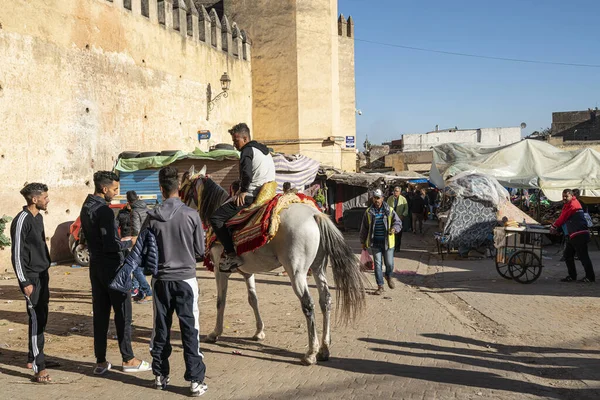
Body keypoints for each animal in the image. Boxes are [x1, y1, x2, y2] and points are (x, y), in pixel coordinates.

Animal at [179, 169, 366, 366]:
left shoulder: (219, 270)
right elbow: (253, 299)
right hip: (318, 268)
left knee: (308, 304)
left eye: (182, 188)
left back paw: (311, 353)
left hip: (297, 272)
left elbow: (220, 301)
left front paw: (215, 333)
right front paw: (259, 332)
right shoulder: (247, 272)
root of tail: (315, 215)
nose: (180, 207)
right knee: (326, 300)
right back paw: (324, 349)